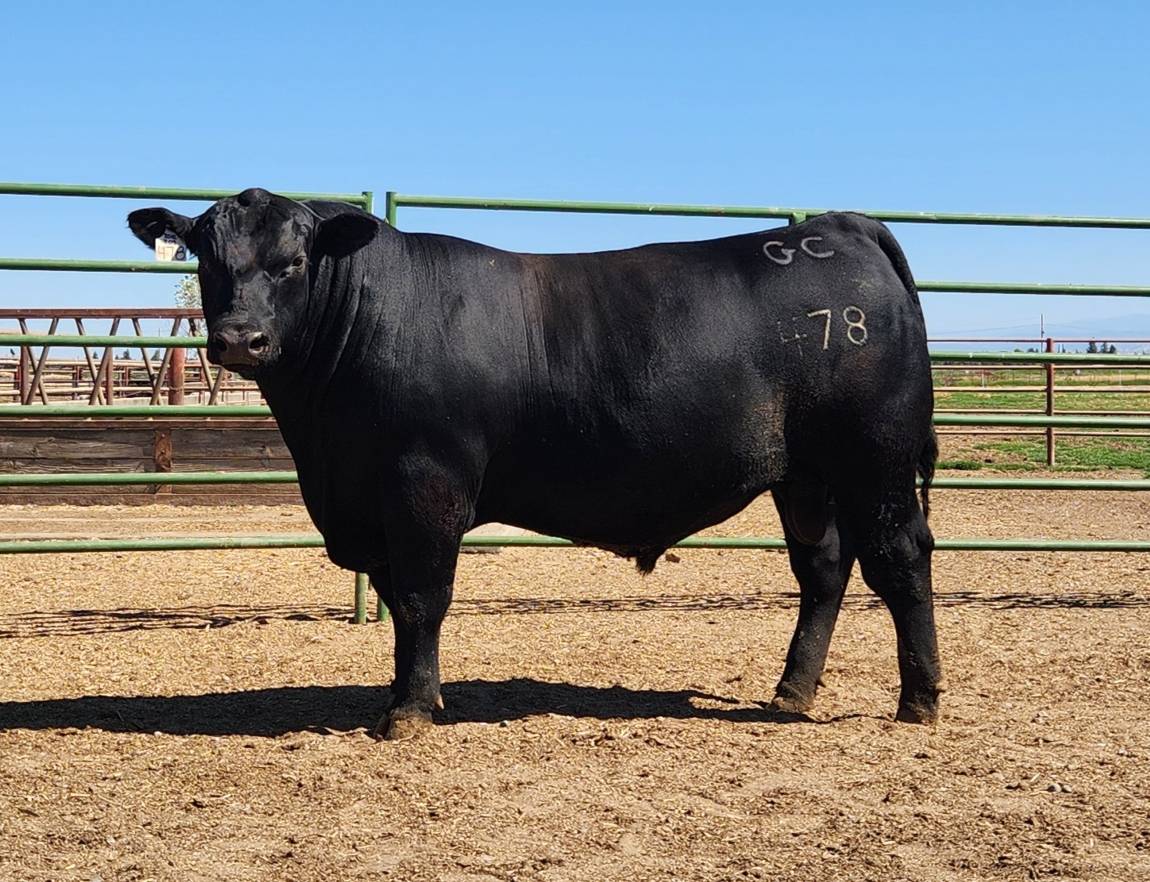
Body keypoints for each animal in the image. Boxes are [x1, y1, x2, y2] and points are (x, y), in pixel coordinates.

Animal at [128, 189, 941, 740]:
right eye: (208, 261)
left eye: (293, 262)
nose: (240, 339)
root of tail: (837, 228)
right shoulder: (371, 503)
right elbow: (397, 601)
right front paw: (414, 694)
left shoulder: (424, 487)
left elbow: (421, 599)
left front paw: (409, 712)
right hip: (806, 478)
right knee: (823, 568)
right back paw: (792, 691)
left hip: (875, 460)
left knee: (900, 558)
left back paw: (919, 700)